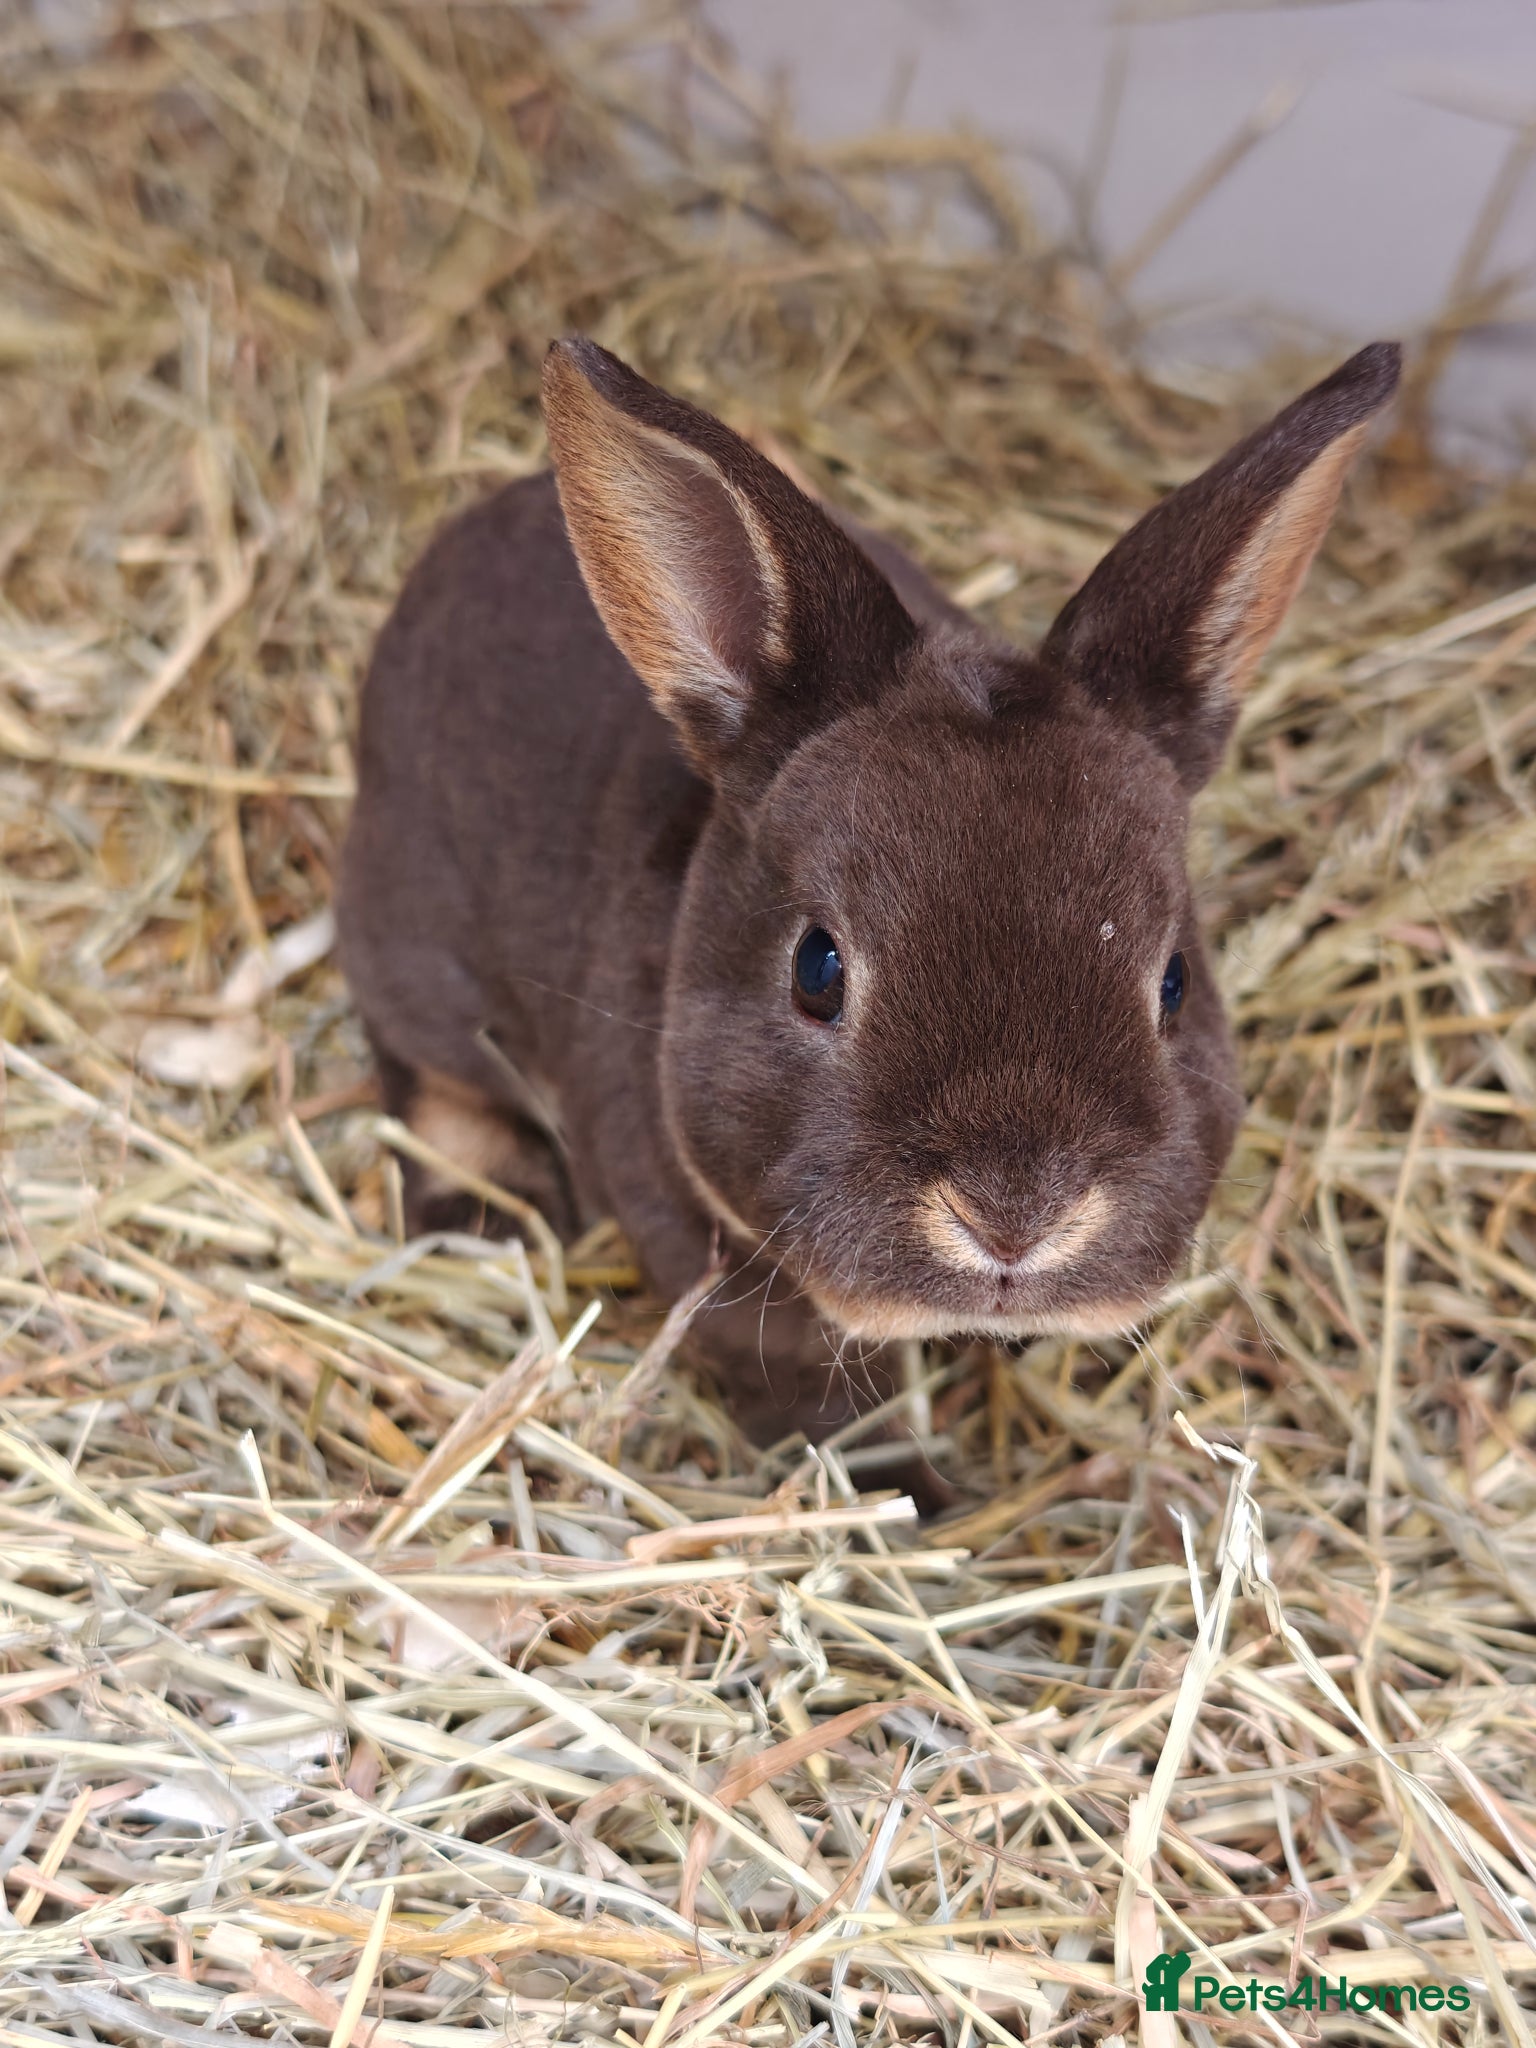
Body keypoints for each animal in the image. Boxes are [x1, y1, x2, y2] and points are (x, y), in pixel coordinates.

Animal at [338, 336, 1400, 1446]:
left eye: (1175, 984)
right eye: (818, 970)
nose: (1013, 1220)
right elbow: (819, 1397)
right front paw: (909, 1476)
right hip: (415, 947)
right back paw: (481, 1210)